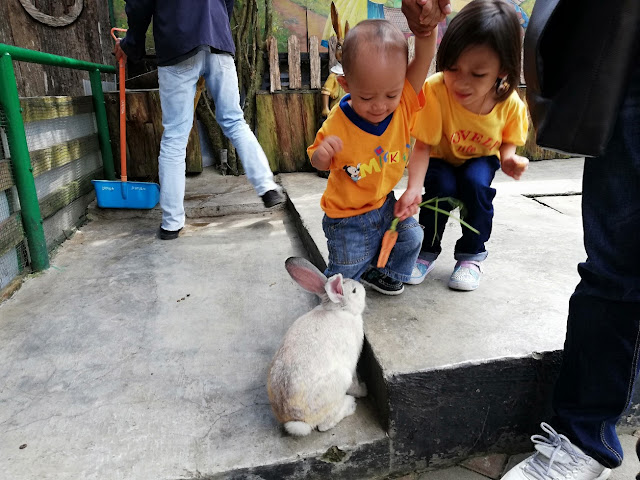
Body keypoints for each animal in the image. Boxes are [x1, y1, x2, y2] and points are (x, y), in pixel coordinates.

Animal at [268, 256, 368, 436]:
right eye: (354, 291)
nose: (362, 287)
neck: (340, 310)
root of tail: (296, 419)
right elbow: (356, 382)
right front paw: (364, 390)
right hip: (342, 378)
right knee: (324, 425)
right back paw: (350, 405)